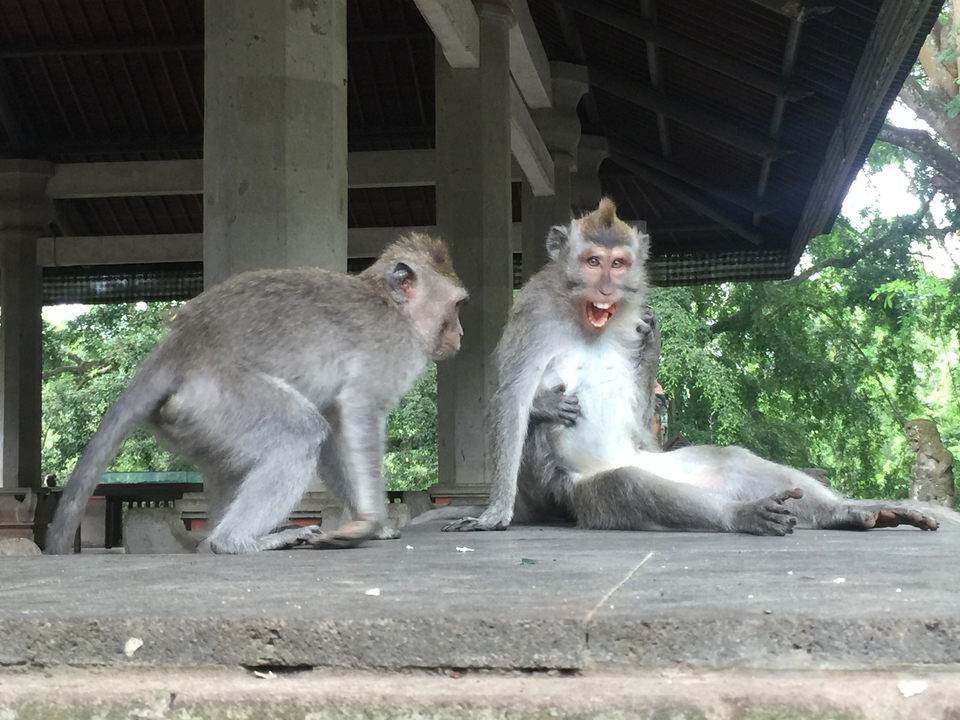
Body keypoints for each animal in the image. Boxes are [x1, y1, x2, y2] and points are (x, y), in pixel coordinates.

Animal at [45, 233, 468, 555]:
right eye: (457, 305)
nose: (461, 335)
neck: (394, 308)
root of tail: (178, 349)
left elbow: (336, 429)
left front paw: (370, 524)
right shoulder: (390, 353)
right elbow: (360, 414)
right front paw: (369, 522)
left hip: (198, 423)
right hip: (221, 401)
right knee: (300, 433)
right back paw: (235, 541)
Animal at [433, 198, 944, 535]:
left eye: (618, 264)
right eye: (592, 261)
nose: (606, 287)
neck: (585, 317)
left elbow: (643, 402)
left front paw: (652, 341)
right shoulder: (533, 313)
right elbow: (510, 401)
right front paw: (493, 514)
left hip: (676, 464)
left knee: (732, 460)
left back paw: (847, 511)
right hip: (581, 495)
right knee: (627, 486)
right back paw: (743, 516)